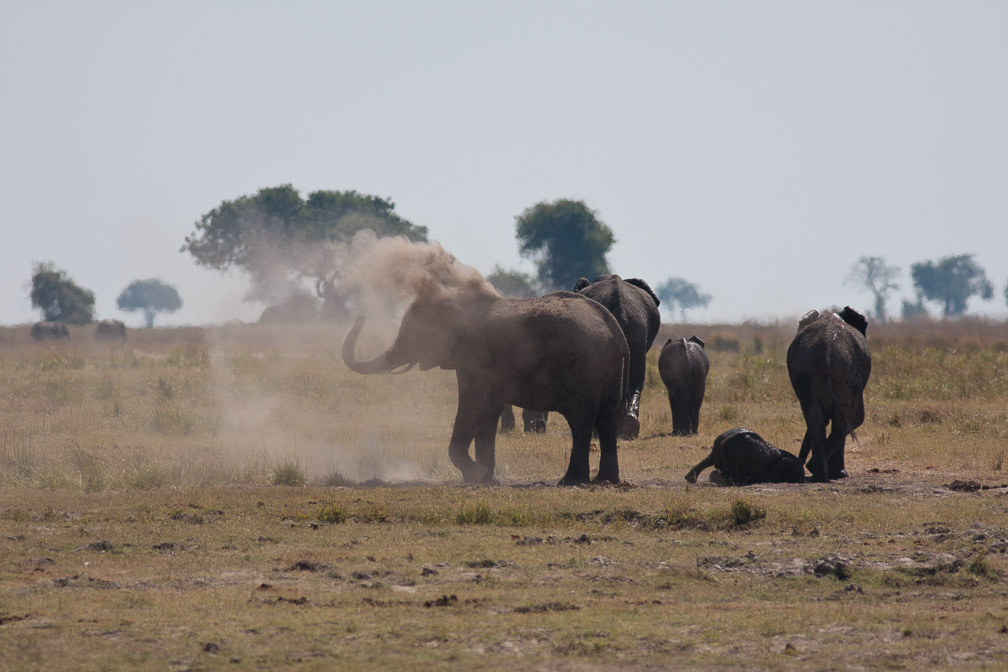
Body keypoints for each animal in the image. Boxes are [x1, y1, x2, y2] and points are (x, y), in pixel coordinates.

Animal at [346, 290, 628, 483]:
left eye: (413, 335)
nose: (360, 316)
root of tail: (614, 330)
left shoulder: (474, 358)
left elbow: (472, 406)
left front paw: (476, 474)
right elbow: (488, 412)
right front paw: (486, 477)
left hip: (582, 368)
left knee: (581, 422)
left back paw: (570, 482)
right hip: (612, 371)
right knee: (607, 420)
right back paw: (606, 480)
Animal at [782, 308, 870, 481]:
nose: (799, 461)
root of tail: (826, 349)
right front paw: (841, 474)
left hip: (805, 369)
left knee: (814, 419)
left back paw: (818, 474)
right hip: (847, 374)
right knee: (851, 419)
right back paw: (824, 472)